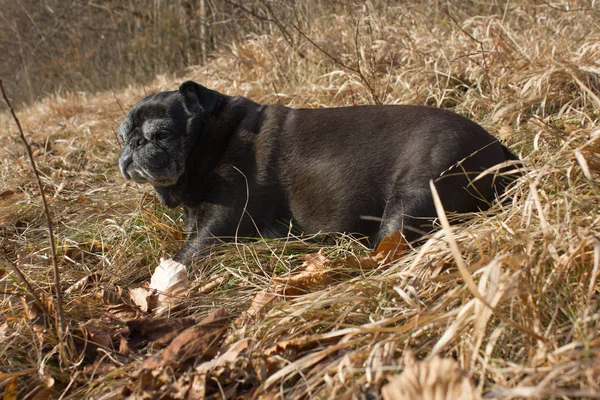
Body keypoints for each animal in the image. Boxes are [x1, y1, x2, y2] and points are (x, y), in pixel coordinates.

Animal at [119, 81, 516, 262]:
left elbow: (183, 256)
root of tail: (499, 149)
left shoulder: (218, 227)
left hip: (414, 197)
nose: (132, 146)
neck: (216, 138)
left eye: (161, 134)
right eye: (121, 137)